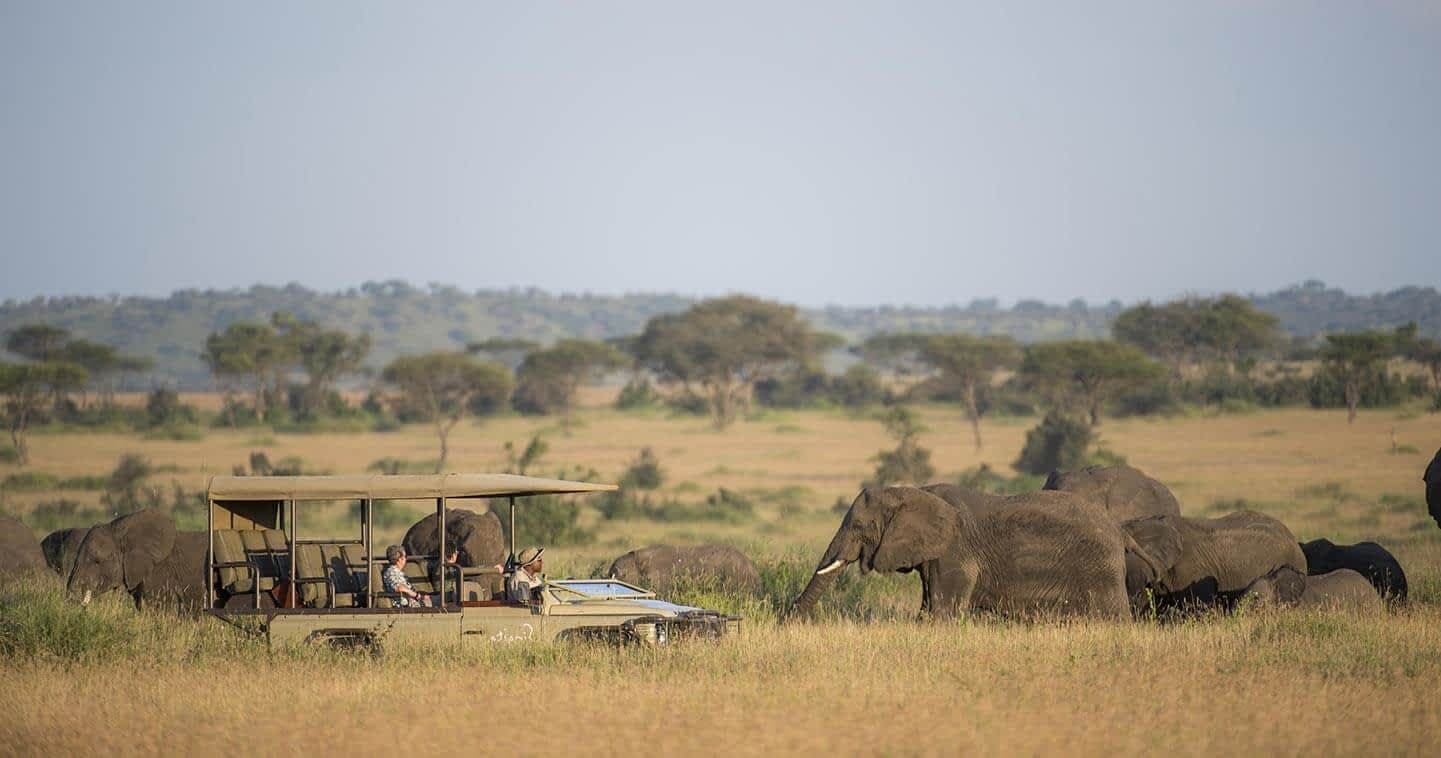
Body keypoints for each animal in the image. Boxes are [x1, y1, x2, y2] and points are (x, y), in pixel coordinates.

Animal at [791, 487, 1132, 621]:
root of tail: (1118, 530)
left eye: (861, 525)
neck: (913, 491)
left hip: (1101, 570)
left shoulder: (955, 553)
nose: (790, 617)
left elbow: (943, 613)